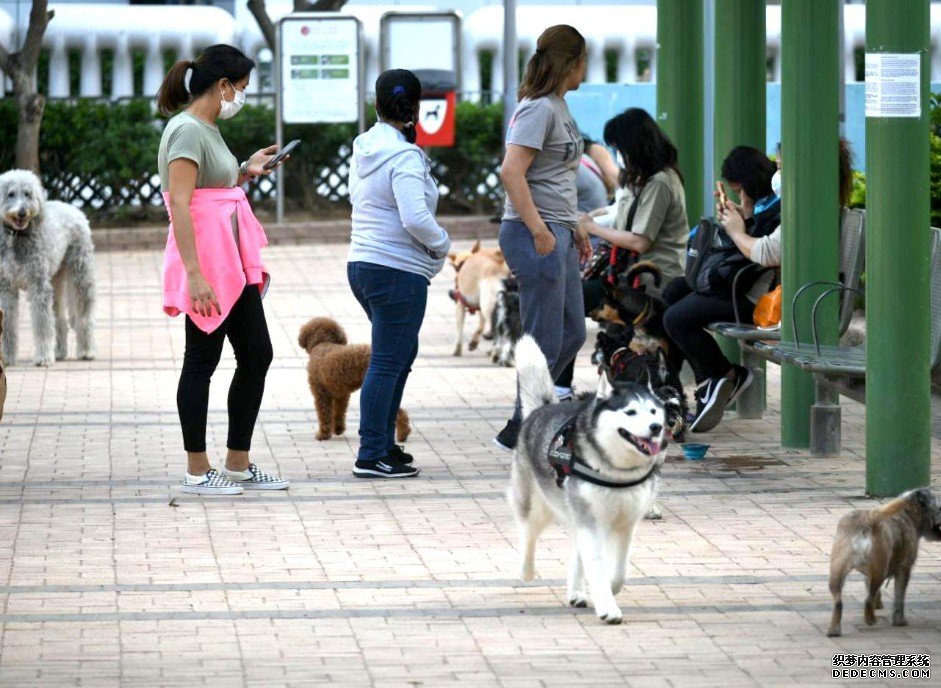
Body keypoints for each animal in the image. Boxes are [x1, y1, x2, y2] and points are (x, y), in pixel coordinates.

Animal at [0, 170, 97, 368]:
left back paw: (87, 351)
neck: (17, 236)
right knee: (59, 319)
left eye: (28, 194)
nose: (22, 212)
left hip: (80, 275)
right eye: (11, 194)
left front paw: (43, 357)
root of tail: (74, 208)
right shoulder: (6, 289)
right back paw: (59, 352)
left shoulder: (38, 286)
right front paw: (6, 357)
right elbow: (8, 325)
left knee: (84, 316)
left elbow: (42, 325)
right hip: (55, 281)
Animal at [828, 486, 936, 636]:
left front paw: (878, 604)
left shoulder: (868, 574)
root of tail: (865, 519)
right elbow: (899, 599)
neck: (907, 514)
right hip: (879, 571)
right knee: (868, 599)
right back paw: (870, 619)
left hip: (837, 570)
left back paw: (834, 629)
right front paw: (899, 621)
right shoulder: (904, 569)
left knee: (839, 601)